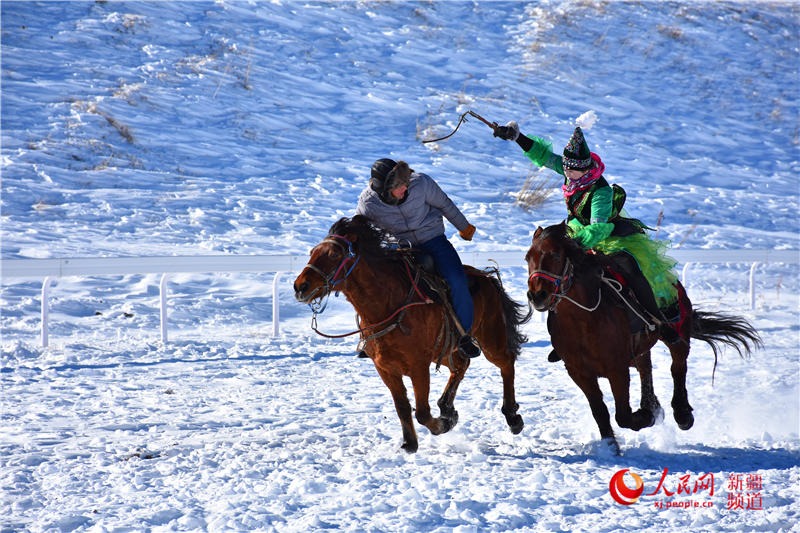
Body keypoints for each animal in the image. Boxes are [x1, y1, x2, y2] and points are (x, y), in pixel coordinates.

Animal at [294, 214, 532, 450]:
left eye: (334, 254)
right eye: (312, 252)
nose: (300, 286)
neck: (388, 304)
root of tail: (486, 278)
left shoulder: (419, 366)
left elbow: (422, 412)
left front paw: (441, 425)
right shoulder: (385, 368)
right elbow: (402, 406)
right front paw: (411, 441)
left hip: (491, 339)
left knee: (506, 363)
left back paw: (512, 417)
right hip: (444, 350)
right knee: (461, 365)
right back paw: (447, 408)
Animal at [524, 221, 764, 454]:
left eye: (555, 255)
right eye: (528, 257)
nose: (537, 295)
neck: (583, 320)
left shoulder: (617, 369)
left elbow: (622, 415)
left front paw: (645, 417)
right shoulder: (579, 372)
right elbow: (600, 411)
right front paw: (611, 447)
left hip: (678, 333)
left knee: (678, 367)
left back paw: (682, 414)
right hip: (638, 348)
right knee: (645, 367)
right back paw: (652, 404)